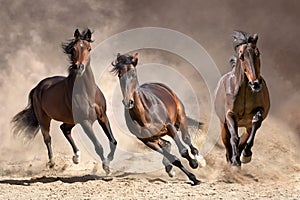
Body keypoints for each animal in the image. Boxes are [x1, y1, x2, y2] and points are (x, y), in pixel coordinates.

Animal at [10, 28, 116, 174]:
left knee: (64, 129)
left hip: (71, 120)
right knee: (47, 138)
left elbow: (113, 141)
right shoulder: (85, 121)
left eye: (89, 48)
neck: (87, 92)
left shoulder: (102, 116)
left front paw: (109, 161)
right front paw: (106, 167)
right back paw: (52, 163)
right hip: (44, 119)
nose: (79, 67)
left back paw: (76, 157)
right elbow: (98, 146)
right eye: (73, 49)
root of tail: (37, 87)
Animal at [111, 53, 205, 186]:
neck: (144, 115)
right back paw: (169, 168)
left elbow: (183, 151)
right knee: (167, 144)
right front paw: (192, 177)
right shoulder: (148, 141)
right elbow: (174, 159)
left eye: (133, 73)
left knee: (187, 140)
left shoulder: (170, 127)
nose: (128, 102)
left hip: (180, 117)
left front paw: (194, 165)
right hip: (157, 137)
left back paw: (199, 159)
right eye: (120, 75)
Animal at [214, 30, 270, 166]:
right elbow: (234, 137)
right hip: (223, 125)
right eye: (241, 57)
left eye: (258, 53)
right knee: (227, 141)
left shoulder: (258, 112)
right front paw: (234, 160)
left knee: (245, 137)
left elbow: (256, 121)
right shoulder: (230, 115)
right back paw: (231, 159)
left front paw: (246, 154)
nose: (255, 84)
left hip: (246, 126)